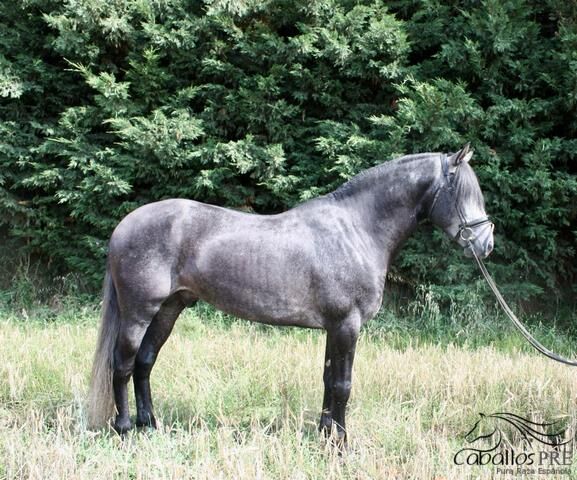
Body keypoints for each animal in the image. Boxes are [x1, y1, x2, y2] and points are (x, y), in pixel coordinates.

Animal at [88, 144, 492, 444]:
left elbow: (329, 381)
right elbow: (343, 385)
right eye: (464, 193)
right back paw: (124, 429)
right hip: (139, 312)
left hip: (169, 309)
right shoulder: (347, 325)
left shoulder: (335, 327)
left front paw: (325, 435)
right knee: (122, 365)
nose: (486, 244)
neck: (356, 229)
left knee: (145, 362)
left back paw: (150, 425)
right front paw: (342, 444)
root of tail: (124, 226)